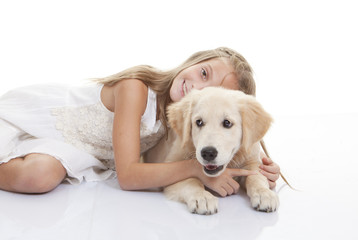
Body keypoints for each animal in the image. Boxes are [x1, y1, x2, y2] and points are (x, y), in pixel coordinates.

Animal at [144, 87, 278, 215]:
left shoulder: (252, 160)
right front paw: (202, 197)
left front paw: (264, 194)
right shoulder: (173, 166)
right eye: (199, 122)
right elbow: (191, 180)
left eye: (227, 123)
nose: (208, 153)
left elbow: (256, 177)